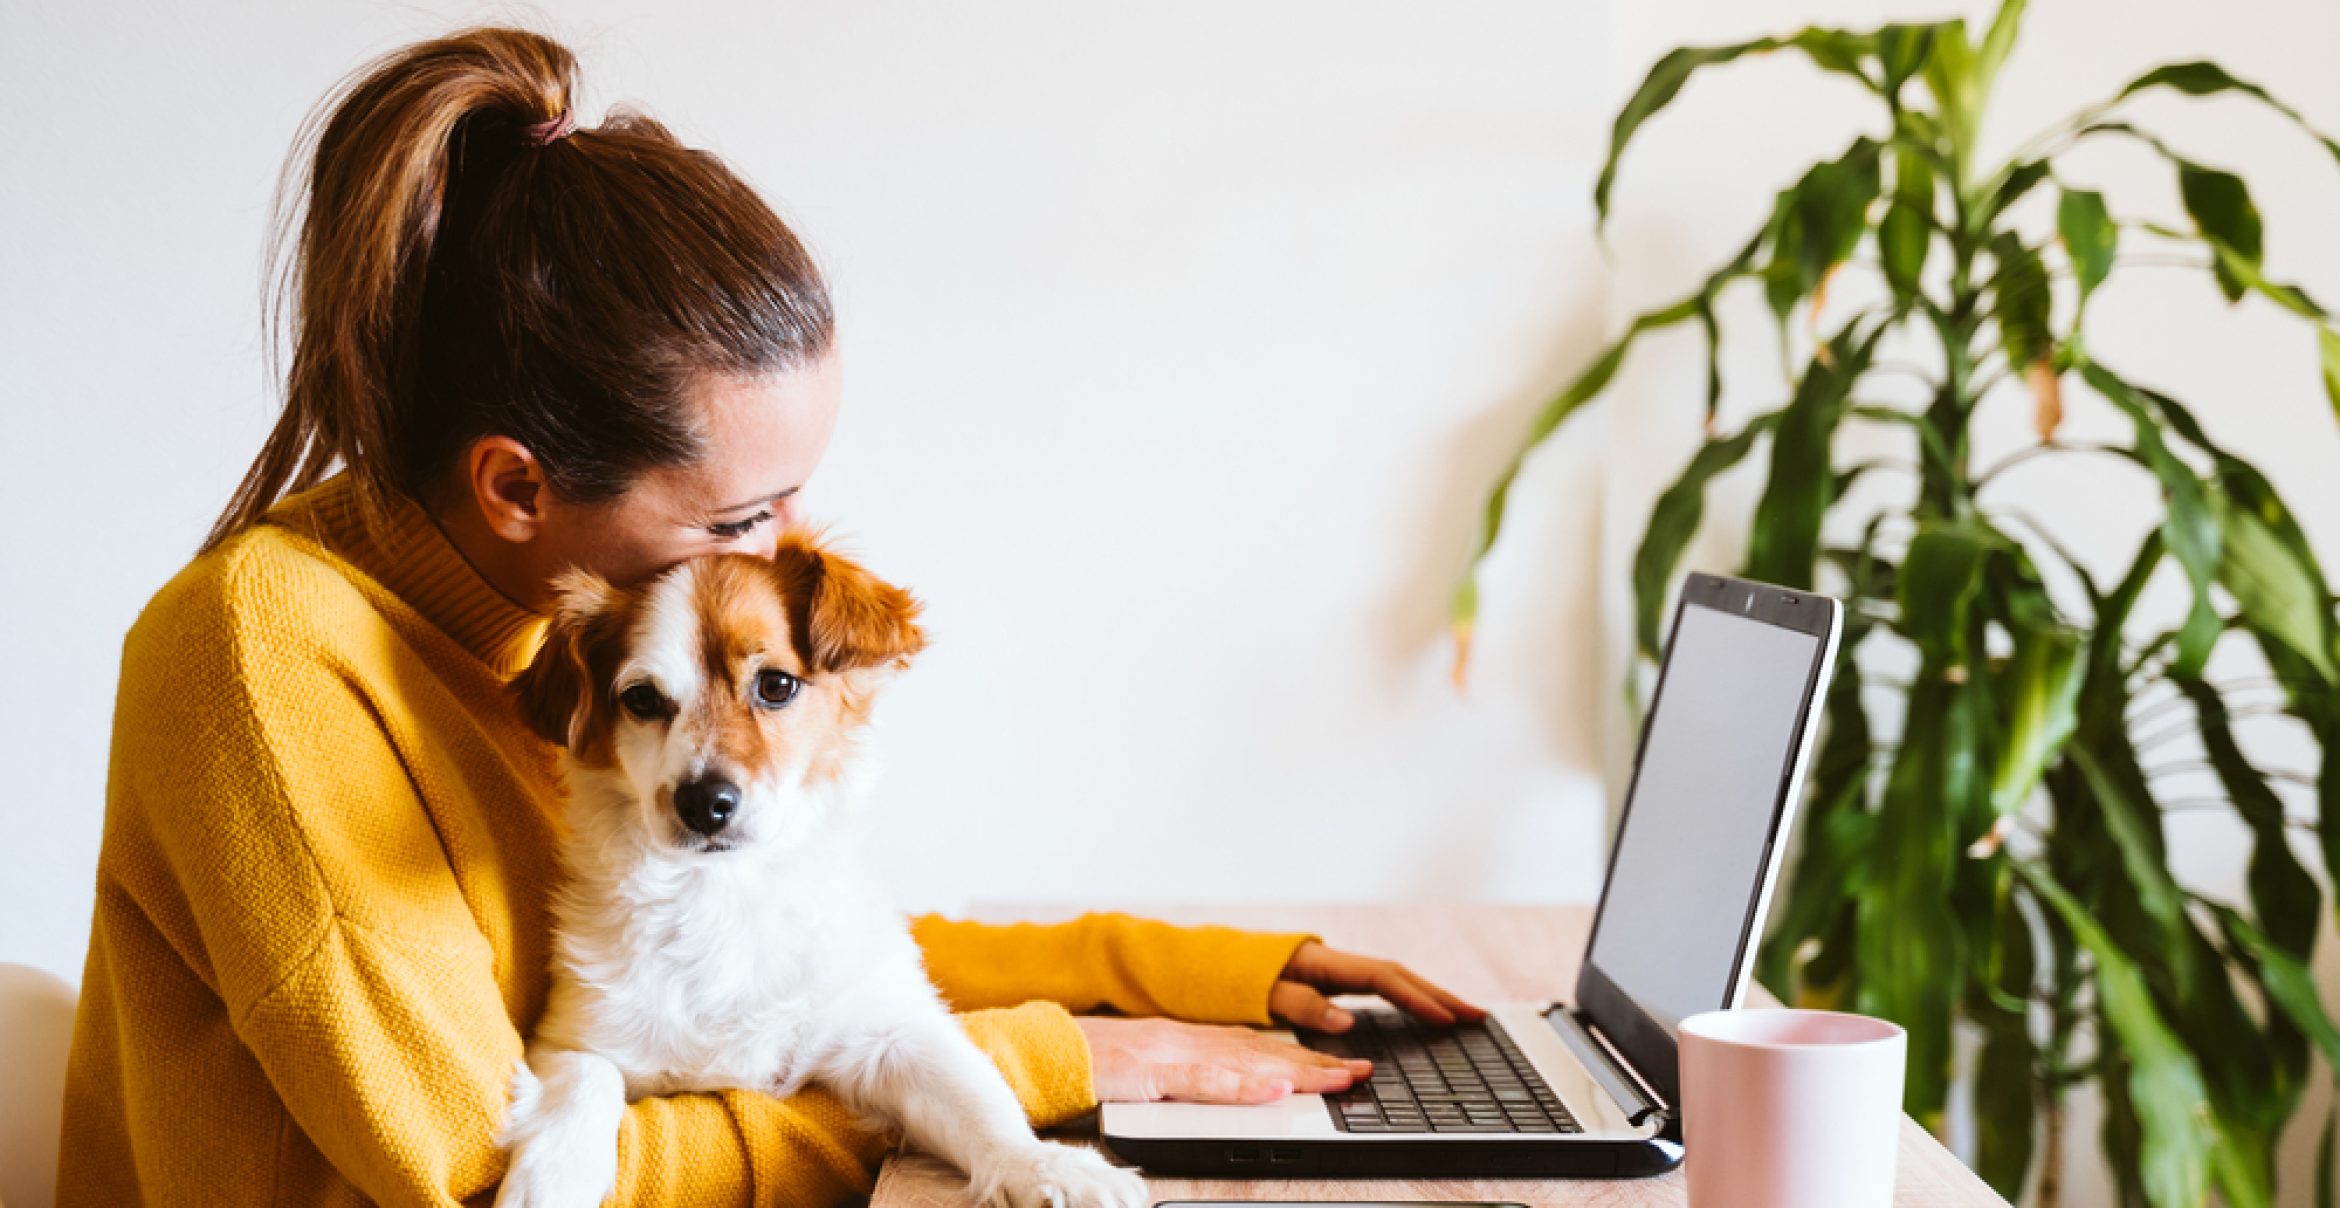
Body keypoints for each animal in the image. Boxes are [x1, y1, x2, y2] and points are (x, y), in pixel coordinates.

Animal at [496, 538, 1151, 1208]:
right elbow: (582, 1086)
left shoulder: (891, 1035)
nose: (704, 803)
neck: (726, 897)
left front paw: (1048, 1166)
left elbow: (979, 1100)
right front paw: (550, 1179)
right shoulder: (573, 1037)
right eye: (642, 699)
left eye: (777, 684)